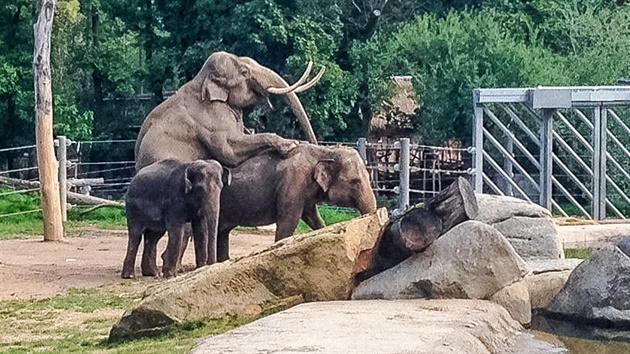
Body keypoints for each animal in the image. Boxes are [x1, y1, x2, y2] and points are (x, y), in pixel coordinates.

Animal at [136, 50, 328, 171]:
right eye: (244, 72)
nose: (315, 143)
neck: (200, 78)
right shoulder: (210, 117)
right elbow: (229, 149)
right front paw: (291, 144)